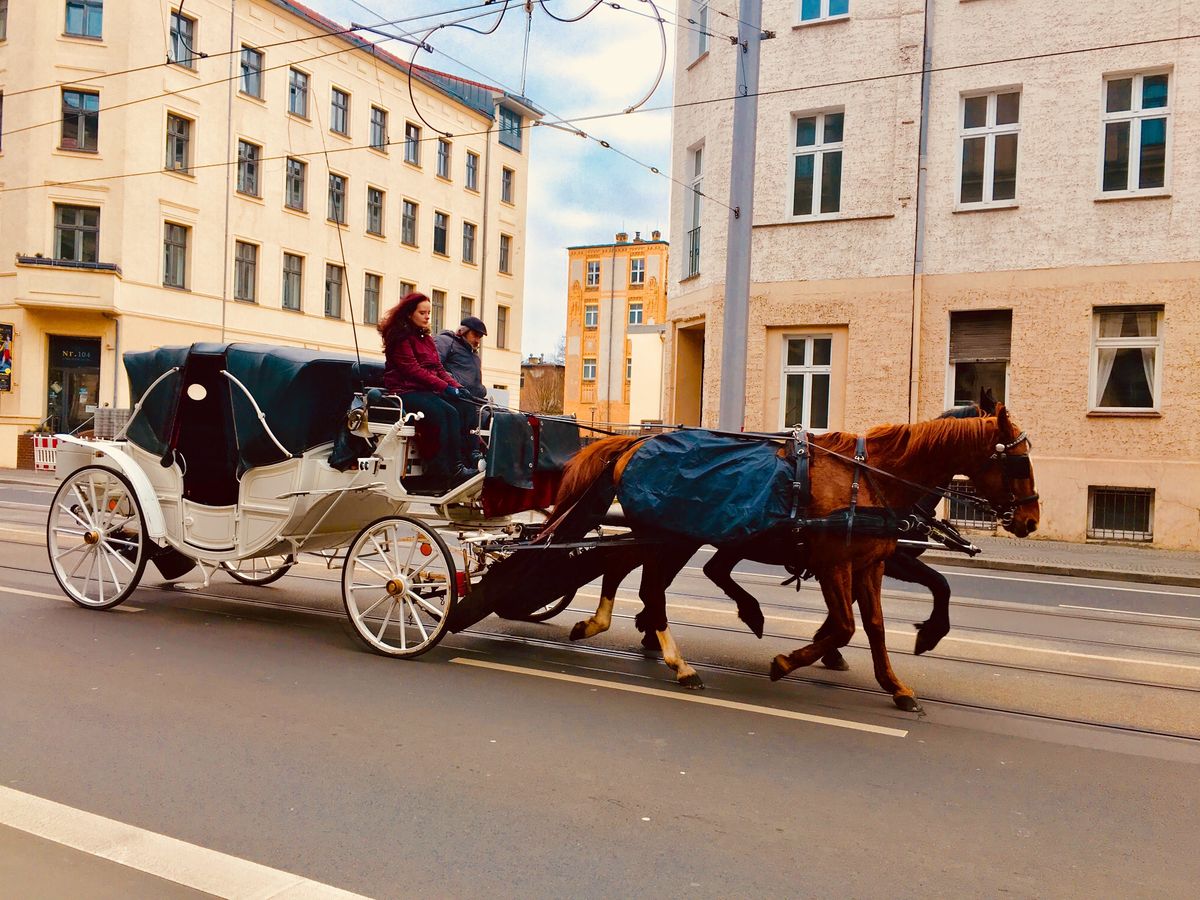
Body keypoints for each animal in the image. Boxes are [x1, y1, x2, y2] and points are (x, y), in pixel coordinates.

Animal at [549, 405, 1036, 710]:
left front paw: (894, 685)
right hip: (670, 537)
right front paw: (788, 662)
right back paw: (678, 661)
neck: (873, 478)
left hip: (674, 537)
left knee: (634, 571)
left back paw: (615, 627)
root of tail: (635, 444)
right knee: (652, 585)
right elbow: (846, 624)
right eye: (1018, 464)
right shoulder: (835, 563)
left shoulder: (872, 563)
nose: (1030, 519)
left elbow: (876, 626)